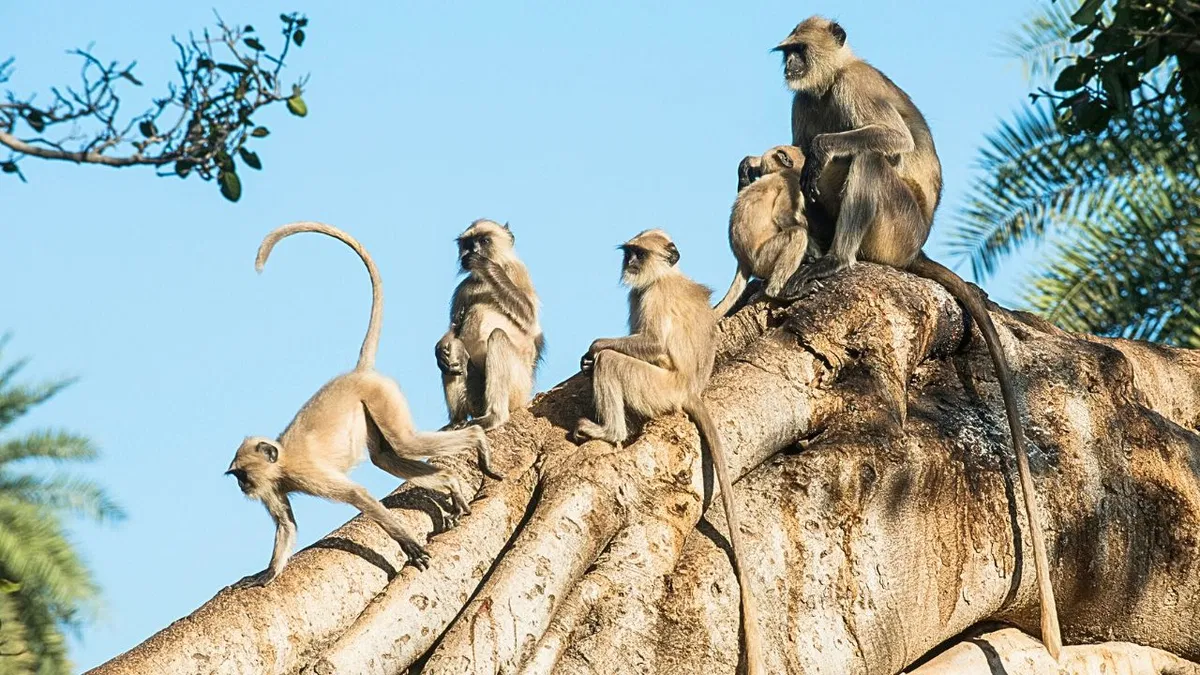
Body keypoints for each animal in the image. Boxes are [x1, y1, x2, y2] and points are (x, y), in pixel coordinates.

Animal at [226, 221, 504, 589]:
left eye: (242, 474)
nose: (242, 485)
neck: (282, 460)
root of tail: (360, 373)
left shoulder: (306, 474)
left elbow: (358, 495)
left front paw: (411, 546)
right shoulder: (272, 483)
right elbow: (287, 525)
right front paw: (267, 574)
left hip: (382, 397)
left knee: (406, 443)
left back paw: (476, 440)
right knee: (386, 456)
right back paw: (449, 482)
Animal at [435, 219, 544, 431]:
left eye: (484, 240)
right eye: (469, 243)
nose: (473, 250)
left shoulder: (517, 270)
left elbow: (529, 319)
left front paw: (485, 265)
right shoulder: (463, 288)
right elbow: (455, 327)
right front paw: (439, 347)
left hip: (518, 388)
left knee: (498, 336)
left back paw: (494, 416)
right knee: (454, 347)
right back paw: (457, 421)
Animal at [574, 229, 765, 675]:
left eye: (638, 255)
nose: (628, 264)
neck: (664, 276)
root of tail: (690, 391)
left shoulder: (650, 295)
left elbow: (653, 343)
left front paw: (595, 346)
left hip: (657, 389)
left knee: (614, 363)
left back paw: (610, 431)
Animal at [715, 145, 824, 316]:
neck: (777, 173)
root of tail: (743, 261)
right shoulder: (789, 182)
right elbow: (783, 216)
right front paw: (815, 255)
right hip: (763, 259)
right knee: (797, 234)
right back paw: (779, 292)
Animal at [772, 16, 1063, 658]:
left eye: (797, 49)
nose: (788, 67)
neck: (828, 80)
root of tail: (915, 250)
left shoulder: (854, 86)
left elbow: (885, 140)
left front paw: (822, 154)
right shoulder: (804, 100)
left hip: (895, 226)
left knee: (869, 160)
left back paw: (839, 258)